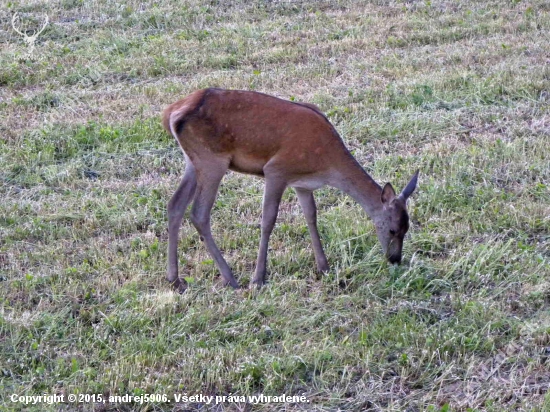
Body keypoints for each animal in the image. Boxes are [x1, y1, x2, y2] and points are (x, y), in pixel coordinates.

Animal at [162, 88, 420, 292]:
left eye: (408, 228)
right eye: (393, 230)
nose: (395, 259)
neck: (325, 165)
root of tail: (171, 113)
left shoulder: (302, 184)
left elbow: (311, 216)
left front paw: (324, 267)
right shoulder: (276, 170)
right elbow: (268, 220)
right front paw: (258, 279)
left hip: (193, 161)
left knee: (175, 204)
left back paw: (175, 280)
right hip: (212, 159)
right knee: (199, 213)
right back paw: (231, 279)